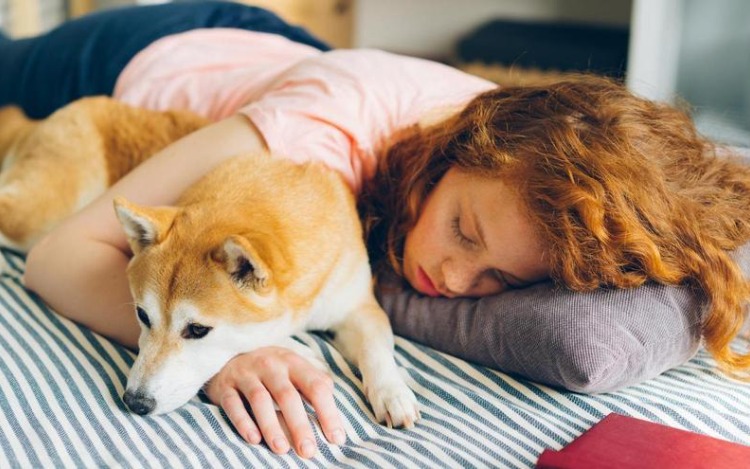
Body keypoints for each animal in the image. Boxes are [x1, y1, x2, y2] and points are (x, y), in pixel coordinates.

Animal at [0, 98, 424, 428]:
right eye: (142, 315)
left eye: (198, 330)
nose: (135, 402)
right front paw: (300, 350)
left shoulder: (357, 304)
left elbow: (377, 342)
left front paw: (393, 390)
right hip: (42, 212)